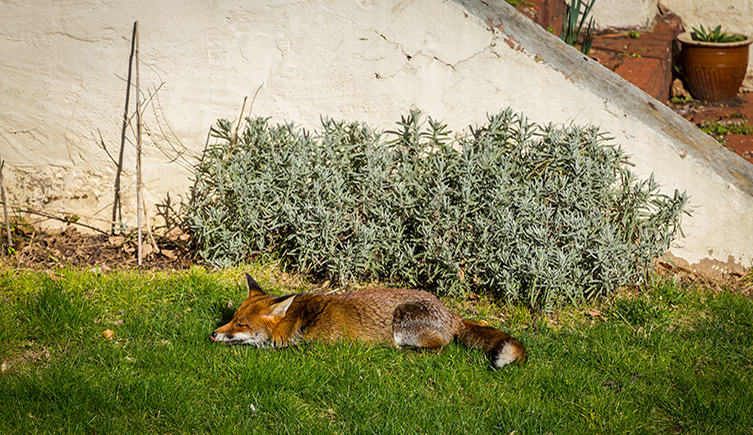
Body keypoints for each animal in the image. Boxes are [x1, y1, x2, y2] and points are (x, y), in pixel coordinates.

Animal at [211, 274, 526, 368]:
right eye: (232, 319)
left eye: (241, 325)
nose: (213, 335)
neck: (298, 318)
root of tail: (451, 313)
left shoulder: (312, 347)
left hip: (403, 321)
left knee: (439, 349)